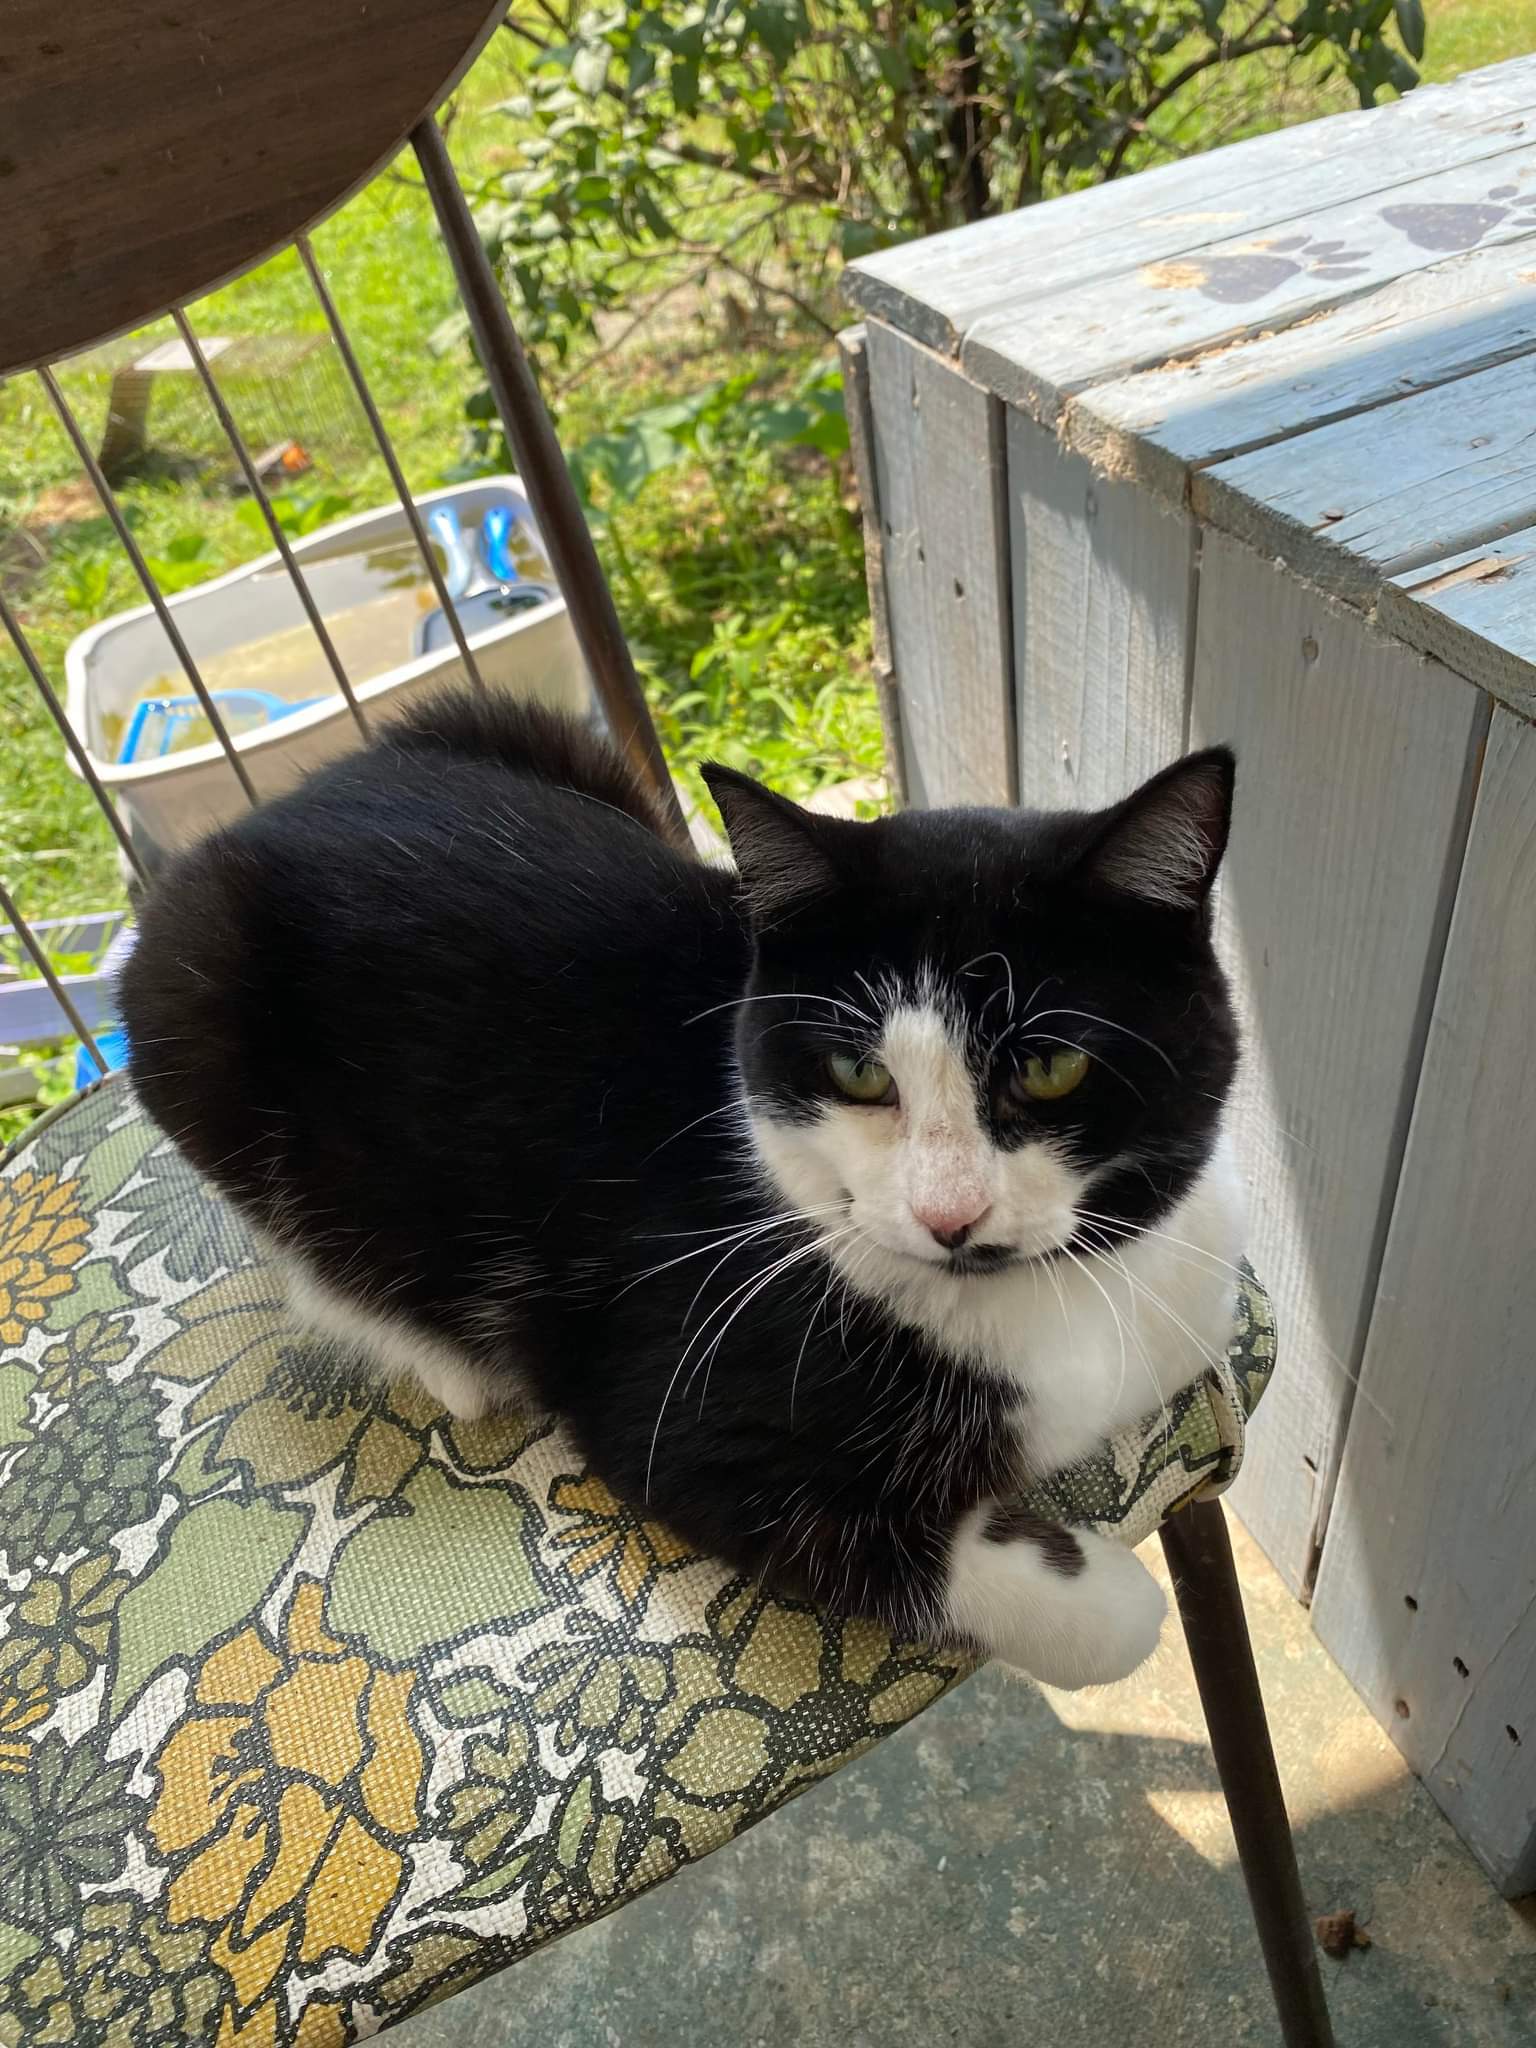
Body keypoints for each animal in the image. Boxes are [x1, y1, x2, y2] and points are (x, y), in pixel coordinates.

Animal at [123, 696, 1253, 1687]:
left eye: (1052, 1066)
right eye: (859, 1073)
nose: (949, 1214)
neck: (1055, 1298)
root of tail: (277, 805)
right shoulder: (678, 1389)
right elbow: (900, 1548)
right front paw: (1106, 1591)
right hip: (193, 995)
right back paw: (433, 1349)